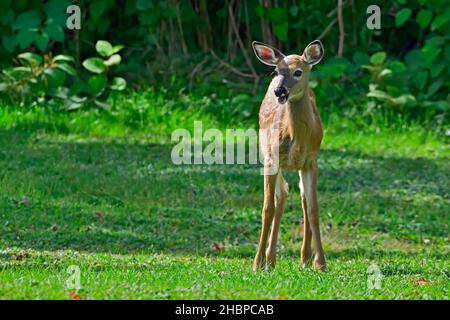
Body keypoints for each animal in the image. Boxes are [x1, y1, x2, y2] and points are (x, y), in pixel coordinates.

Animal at [251, 39, 326, 270]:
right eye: (276, 71)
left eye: (298, 72)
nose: (279, 91)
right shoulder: (271, 159)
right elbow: (267, 209)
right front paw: (257, 263)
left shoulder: (311, 162)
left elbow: (313, 209)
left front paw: (321, 263)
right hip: (266, 152)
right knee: (281, 194)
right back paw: (270, 258)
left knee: (300, 197)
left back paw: (304, 257)